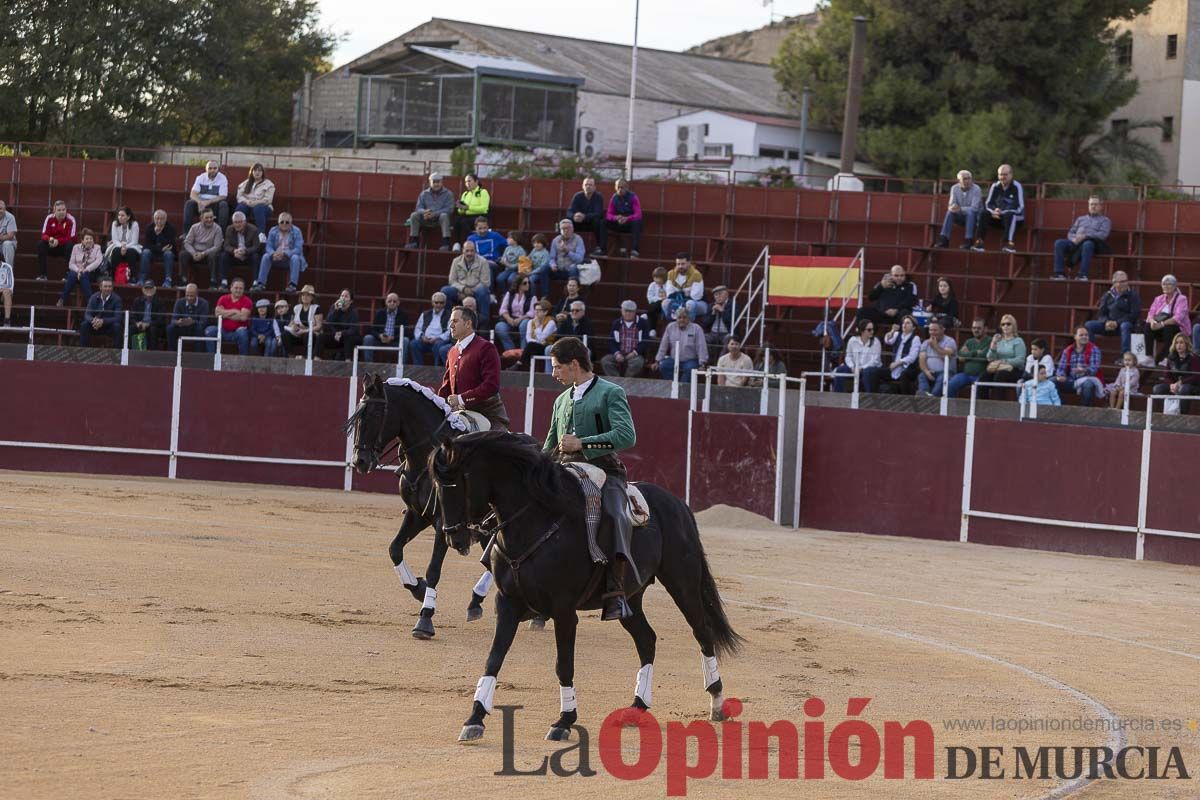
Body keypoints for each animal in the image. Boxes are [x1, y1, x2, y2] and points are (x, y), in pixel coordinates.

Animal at [348, 371, 492, 642]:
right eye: (357, 415)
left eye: (375, 415)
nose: (359, 461)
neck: (426, 458)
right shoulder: (417, 514)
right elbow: (394, 549)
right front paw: (417, 588)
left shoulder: (444, 523)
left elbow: (434, 568)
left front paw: (425, 619)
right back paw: (477, 603)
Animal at [432, 431, 739, 743]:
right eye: (437, 486)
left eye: (457, 483)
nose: (454, 538)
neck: (536, 522)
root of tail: (677, 503)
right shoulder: (507, 602)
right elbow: (494, 657)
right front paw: (475, 718)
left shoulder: (564, 610)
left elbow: (563, 663)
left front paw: (564, 721)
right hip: (630, 599)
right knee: (647, 639)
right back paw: (637, 707)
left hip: (683, 583)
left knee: (702, 632)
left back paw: (716, 702)